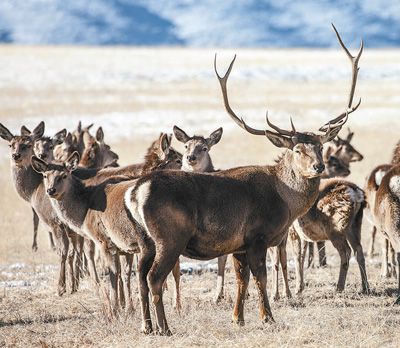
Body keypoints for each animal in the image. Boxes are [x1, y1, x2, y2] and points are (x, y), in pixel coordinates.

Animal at [121, 24, 360, 334]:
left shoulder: (238, 244)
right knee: (153, 278)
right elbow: (260, 278)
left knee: (140, 277)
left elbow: (241, 279)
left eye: (321, 146)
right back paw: (164, 327)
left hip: (144, 240)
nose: (319, 167)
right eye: (297, 149)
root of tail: (135, 192)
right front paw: (267, 317)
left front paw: (238, 317)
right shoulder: (257, 235)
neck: (285, 202)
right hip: (170, 236)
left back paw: (146, 326)